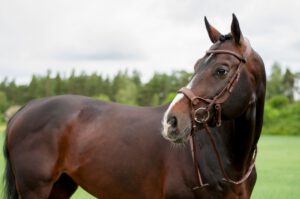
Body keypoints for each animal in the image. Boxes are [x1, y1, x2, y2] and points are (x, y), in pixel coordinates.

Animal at [3, 14, 266, 199]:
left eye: (221, 70)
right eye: (196, 65)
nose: (171, 121)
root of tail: (25, 109)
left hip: (60, 187)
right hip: (35, 189)